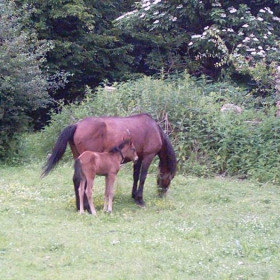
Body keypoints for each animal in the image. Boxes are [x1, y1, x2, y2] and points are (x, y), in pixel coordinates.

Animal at [41, 112, 177, 211]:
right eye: (169, 178)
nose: (162, 194)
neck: (154, 129)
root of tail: (77, 125)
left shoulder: (138, 158)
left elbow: (136, 176)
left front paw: (134, 196)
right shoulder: (148, 156)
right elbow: (143, 177)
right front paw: (140, 199)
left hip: (78, 159)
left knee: (76, 180)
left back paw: (79, 206)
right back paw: (87, 207)